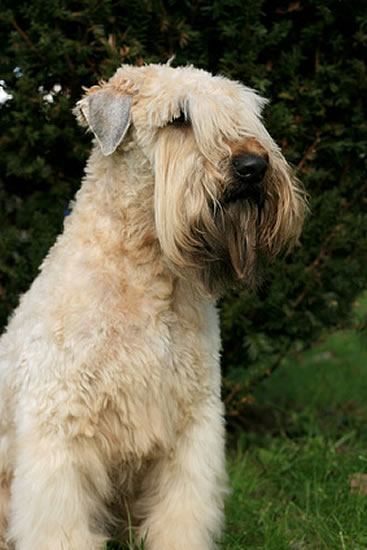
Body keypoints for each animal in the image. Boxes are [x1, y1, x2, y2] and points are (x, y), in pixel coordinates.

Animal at [0, 62, 306, 548]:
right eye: (179, 118)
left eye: (248, 113)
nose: (253, 167)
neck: (147, 271)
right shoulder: (60, 426)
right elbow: (61, 526)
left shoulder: (192, 421)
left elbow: (181, 513)